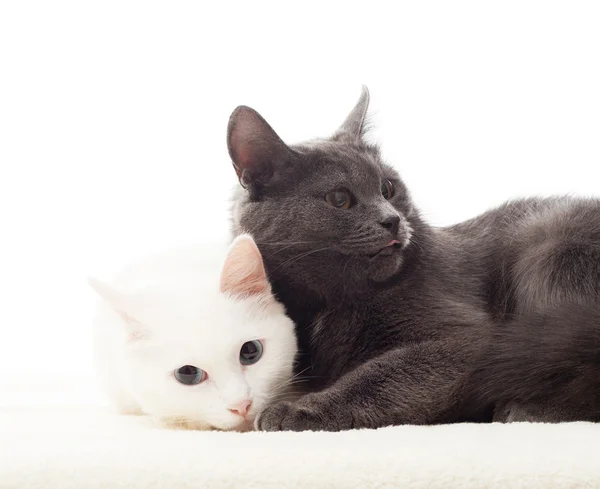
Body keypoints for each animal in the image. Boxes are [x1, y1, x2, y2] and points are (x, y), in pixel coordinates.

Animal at [226, 86, 600, 428]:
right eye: (339, 199)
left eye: (388, 189)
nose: (392, 220)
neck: (326, 302)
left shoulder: (467, 338)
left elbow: (380, 376)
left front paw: (298, 410)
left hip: (553, 253)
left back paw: (526, 410)